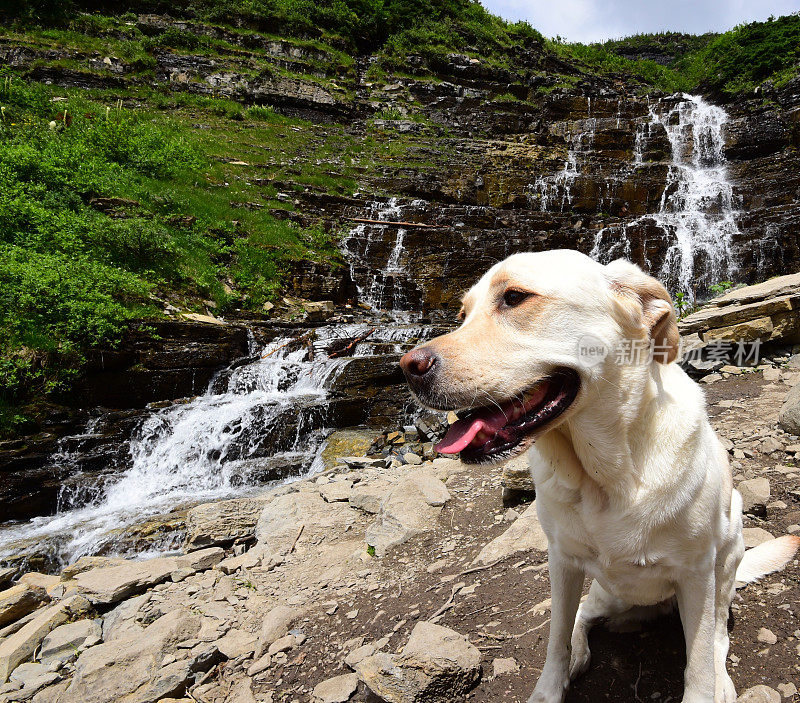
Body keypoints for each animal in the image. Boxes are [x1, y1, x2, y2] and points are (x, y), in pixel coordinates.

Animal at [400, 252, 800, 703]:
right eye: (463, 315)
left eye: (515, 297)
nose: (407, 367)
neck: (603, 478)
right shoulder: (561, 561)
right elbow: (556, 638)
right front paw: (549, 689)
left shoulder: (697, 572)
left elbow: (698, 663)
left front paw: (707, 684)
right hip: (606, 592)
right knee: (581, 617)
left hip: (728, 552)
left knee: (716, 632)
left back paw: (722, 678)